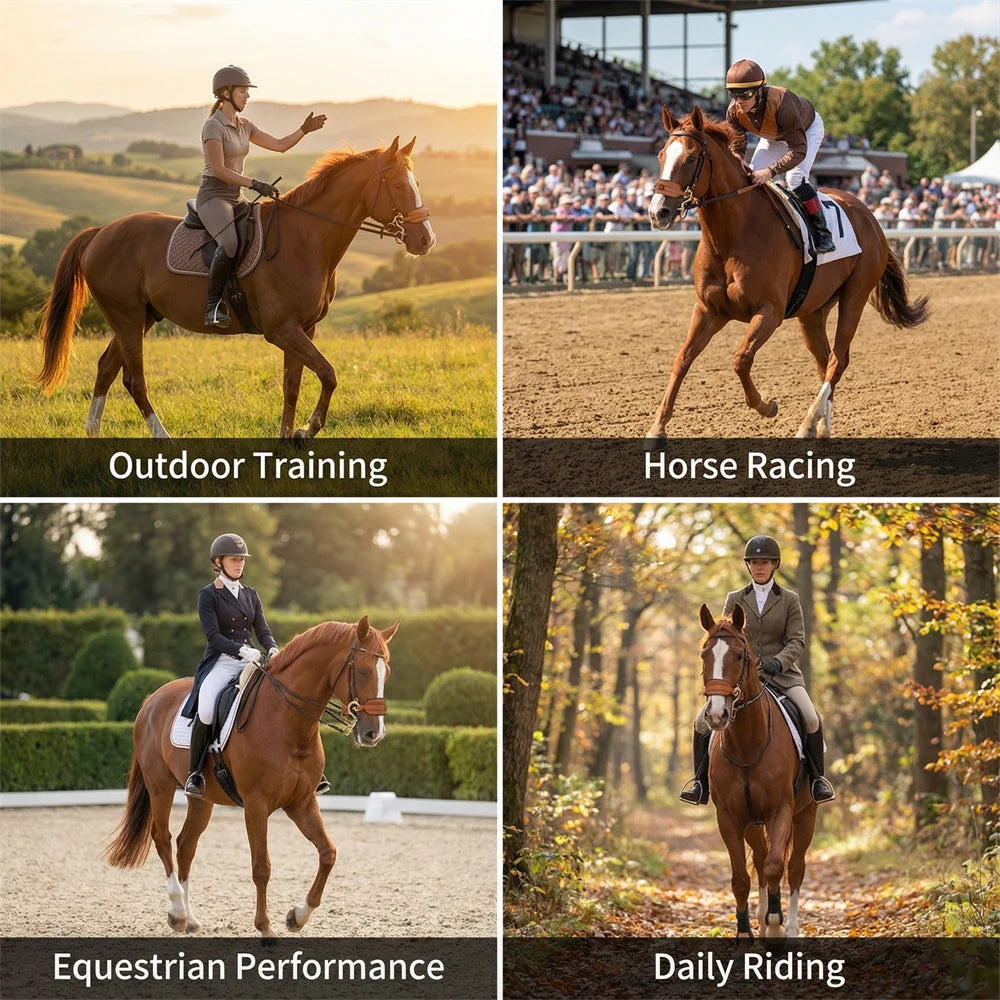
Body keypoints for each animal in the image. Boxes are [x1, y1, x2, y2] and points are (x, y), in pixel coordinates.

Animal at [35, 137, 434, 439]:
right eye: (400, 186)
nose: (425, 240)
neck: (305, 239)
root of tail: (100, 232)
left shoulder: (303, 329)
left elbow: (293, 385)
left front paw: (288, 440)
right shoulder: (282, 330)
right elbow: (328, 374)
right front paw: (306, 431)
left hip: (141, 317)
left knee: (106, 367)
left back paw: (94, 433)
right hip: (128, 317)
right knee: (134, 379)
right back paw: (164, 439)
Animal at [105, 616, 398, 938]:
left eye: (387, 673)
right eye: (363, 670)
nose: (374, 734)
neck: (288, 723)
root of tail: (151, 699)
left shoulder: (302, 802)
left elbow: (327, 853)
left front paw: (297, 917)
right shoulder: (256, 805)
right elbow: (262, 866)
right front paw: (266, 928)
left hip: (201, 798)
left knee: (185, 845)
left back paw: (190, 918)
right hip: (160, 786)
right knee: (162, 838)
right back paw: (178, 913)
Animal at [647, 107, 929, 443]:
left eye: (690, 158)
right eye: (661, 155)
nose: (658, 212)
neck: (733, 236)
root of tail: (869, 215)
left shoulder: (769, 312)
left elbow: (741, 358)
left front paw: (767, 406)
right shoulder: (707, 309)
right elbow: (682, 359)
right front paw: (657, 427)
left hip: (855, 296)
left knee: (838, 360)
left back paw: (807, 423)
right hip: (813, 311)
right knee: (825, 360)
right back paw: (821, 425)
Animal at [697, 603, 817, 940]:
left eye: (740, 655)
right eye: (704, 654)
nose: (717, 715)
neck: (747, 745)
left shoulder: (781, 810)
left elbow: (777, 865)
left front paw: (776, 926)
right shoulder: (729, 816)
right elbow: (741, 877)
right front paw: (745, 933)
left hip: (806, 815)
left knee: (794, 867)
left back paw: (789, 928)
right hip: (752, 823)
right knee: (761, 862)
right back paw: (763, 924)